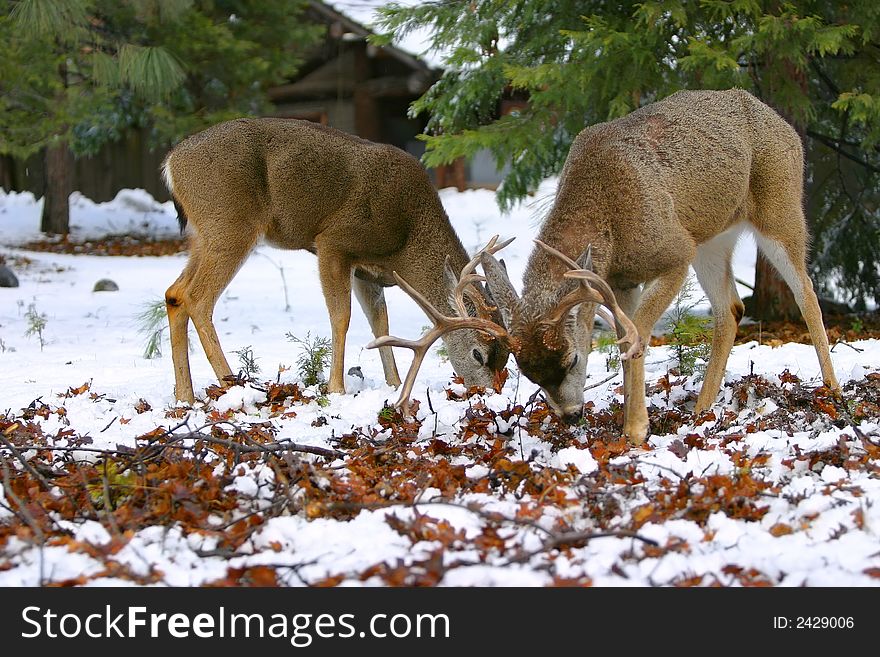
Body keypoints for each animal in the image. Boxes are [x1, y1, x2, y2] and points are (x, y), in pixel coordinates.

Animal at [162, 118, 512, 404]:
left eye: (505, 360)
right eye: (479, 354)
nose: (490, 394)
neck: (406, 240)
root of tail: (171, 162)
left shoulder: (367, 271)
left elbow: (380, 323)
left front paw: (394, 384)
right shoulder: (334, 242)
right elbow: (341, 316)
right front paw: (336, 388)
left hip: (204, 235)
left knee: (175, 293)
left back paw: (185, 396)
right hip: (229, 223)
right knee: (197, 298)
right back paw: (232, 385)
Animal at [376, 88, 840, 446]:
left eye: (573, 360)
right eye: (530, 376)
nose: (571, 416)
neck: (609, 218)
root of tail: (780, 120)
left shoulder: (674, 252)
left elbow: (638, 337)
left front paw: (635, 430)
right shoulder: (619, 281)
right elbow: (622, 340)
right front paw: (628, 420)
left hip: (779, 208)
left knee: (807, 293)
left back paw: (833, 391)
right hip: (711, 240)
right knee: (731, 309)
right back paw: (703, 410)